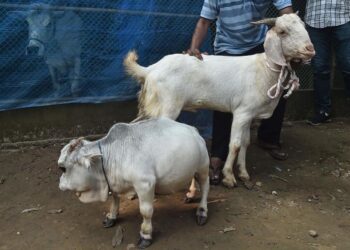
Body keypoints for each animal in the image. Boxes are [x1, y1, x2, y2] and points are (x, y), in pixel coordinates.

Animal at [58, 117, 209, 248]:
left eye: (62, 168)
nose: (60, 184)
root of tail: (194, 130)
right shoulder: (114, 183)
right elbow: (115, 199)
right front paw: (111, 217)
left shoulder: (145, 184)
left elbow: (146, 211)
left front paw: (145, 235)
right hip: (193, 168)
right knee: (193, 179)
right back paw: (190, 195)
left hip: (203, 168)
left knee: (205, 188)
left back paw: (202, 211)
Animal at [125, 12, 314, 187]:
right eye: (282, 31)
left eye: (304, 26)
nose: (310, 49)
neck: (264, 69)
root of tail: (150, 69)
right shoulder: (241, 112)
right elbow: (235, 144)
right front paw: (229, 176)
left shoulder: (249, 113)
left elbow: (245, 143)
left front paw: (244, 173)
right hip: (168, 106)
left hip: (150, 107)